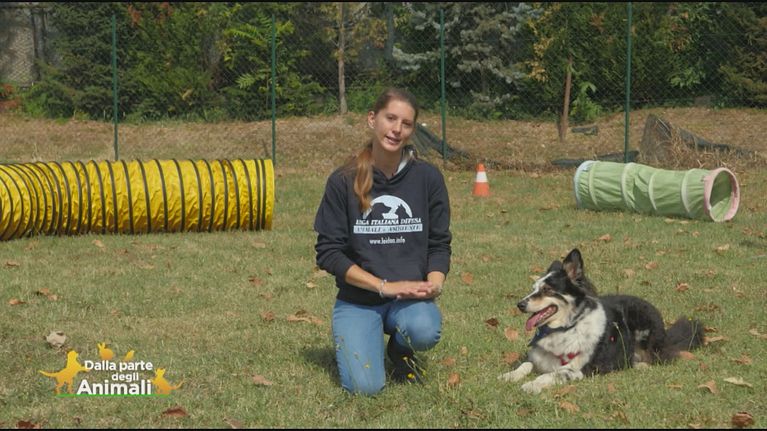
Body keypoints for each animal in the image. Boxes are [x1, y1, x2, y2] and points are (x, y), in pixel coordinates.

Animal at [498, 248, 704, 393]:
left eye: (547, 290)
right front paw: (509, 375)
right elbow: (525, 364)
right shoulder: (539, 359)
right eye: (533, 288)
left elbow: (553, 374)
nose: (519, 304)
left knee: (660, 356)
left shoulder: (582, 369)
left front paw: (532, 385)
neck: (565, 328)